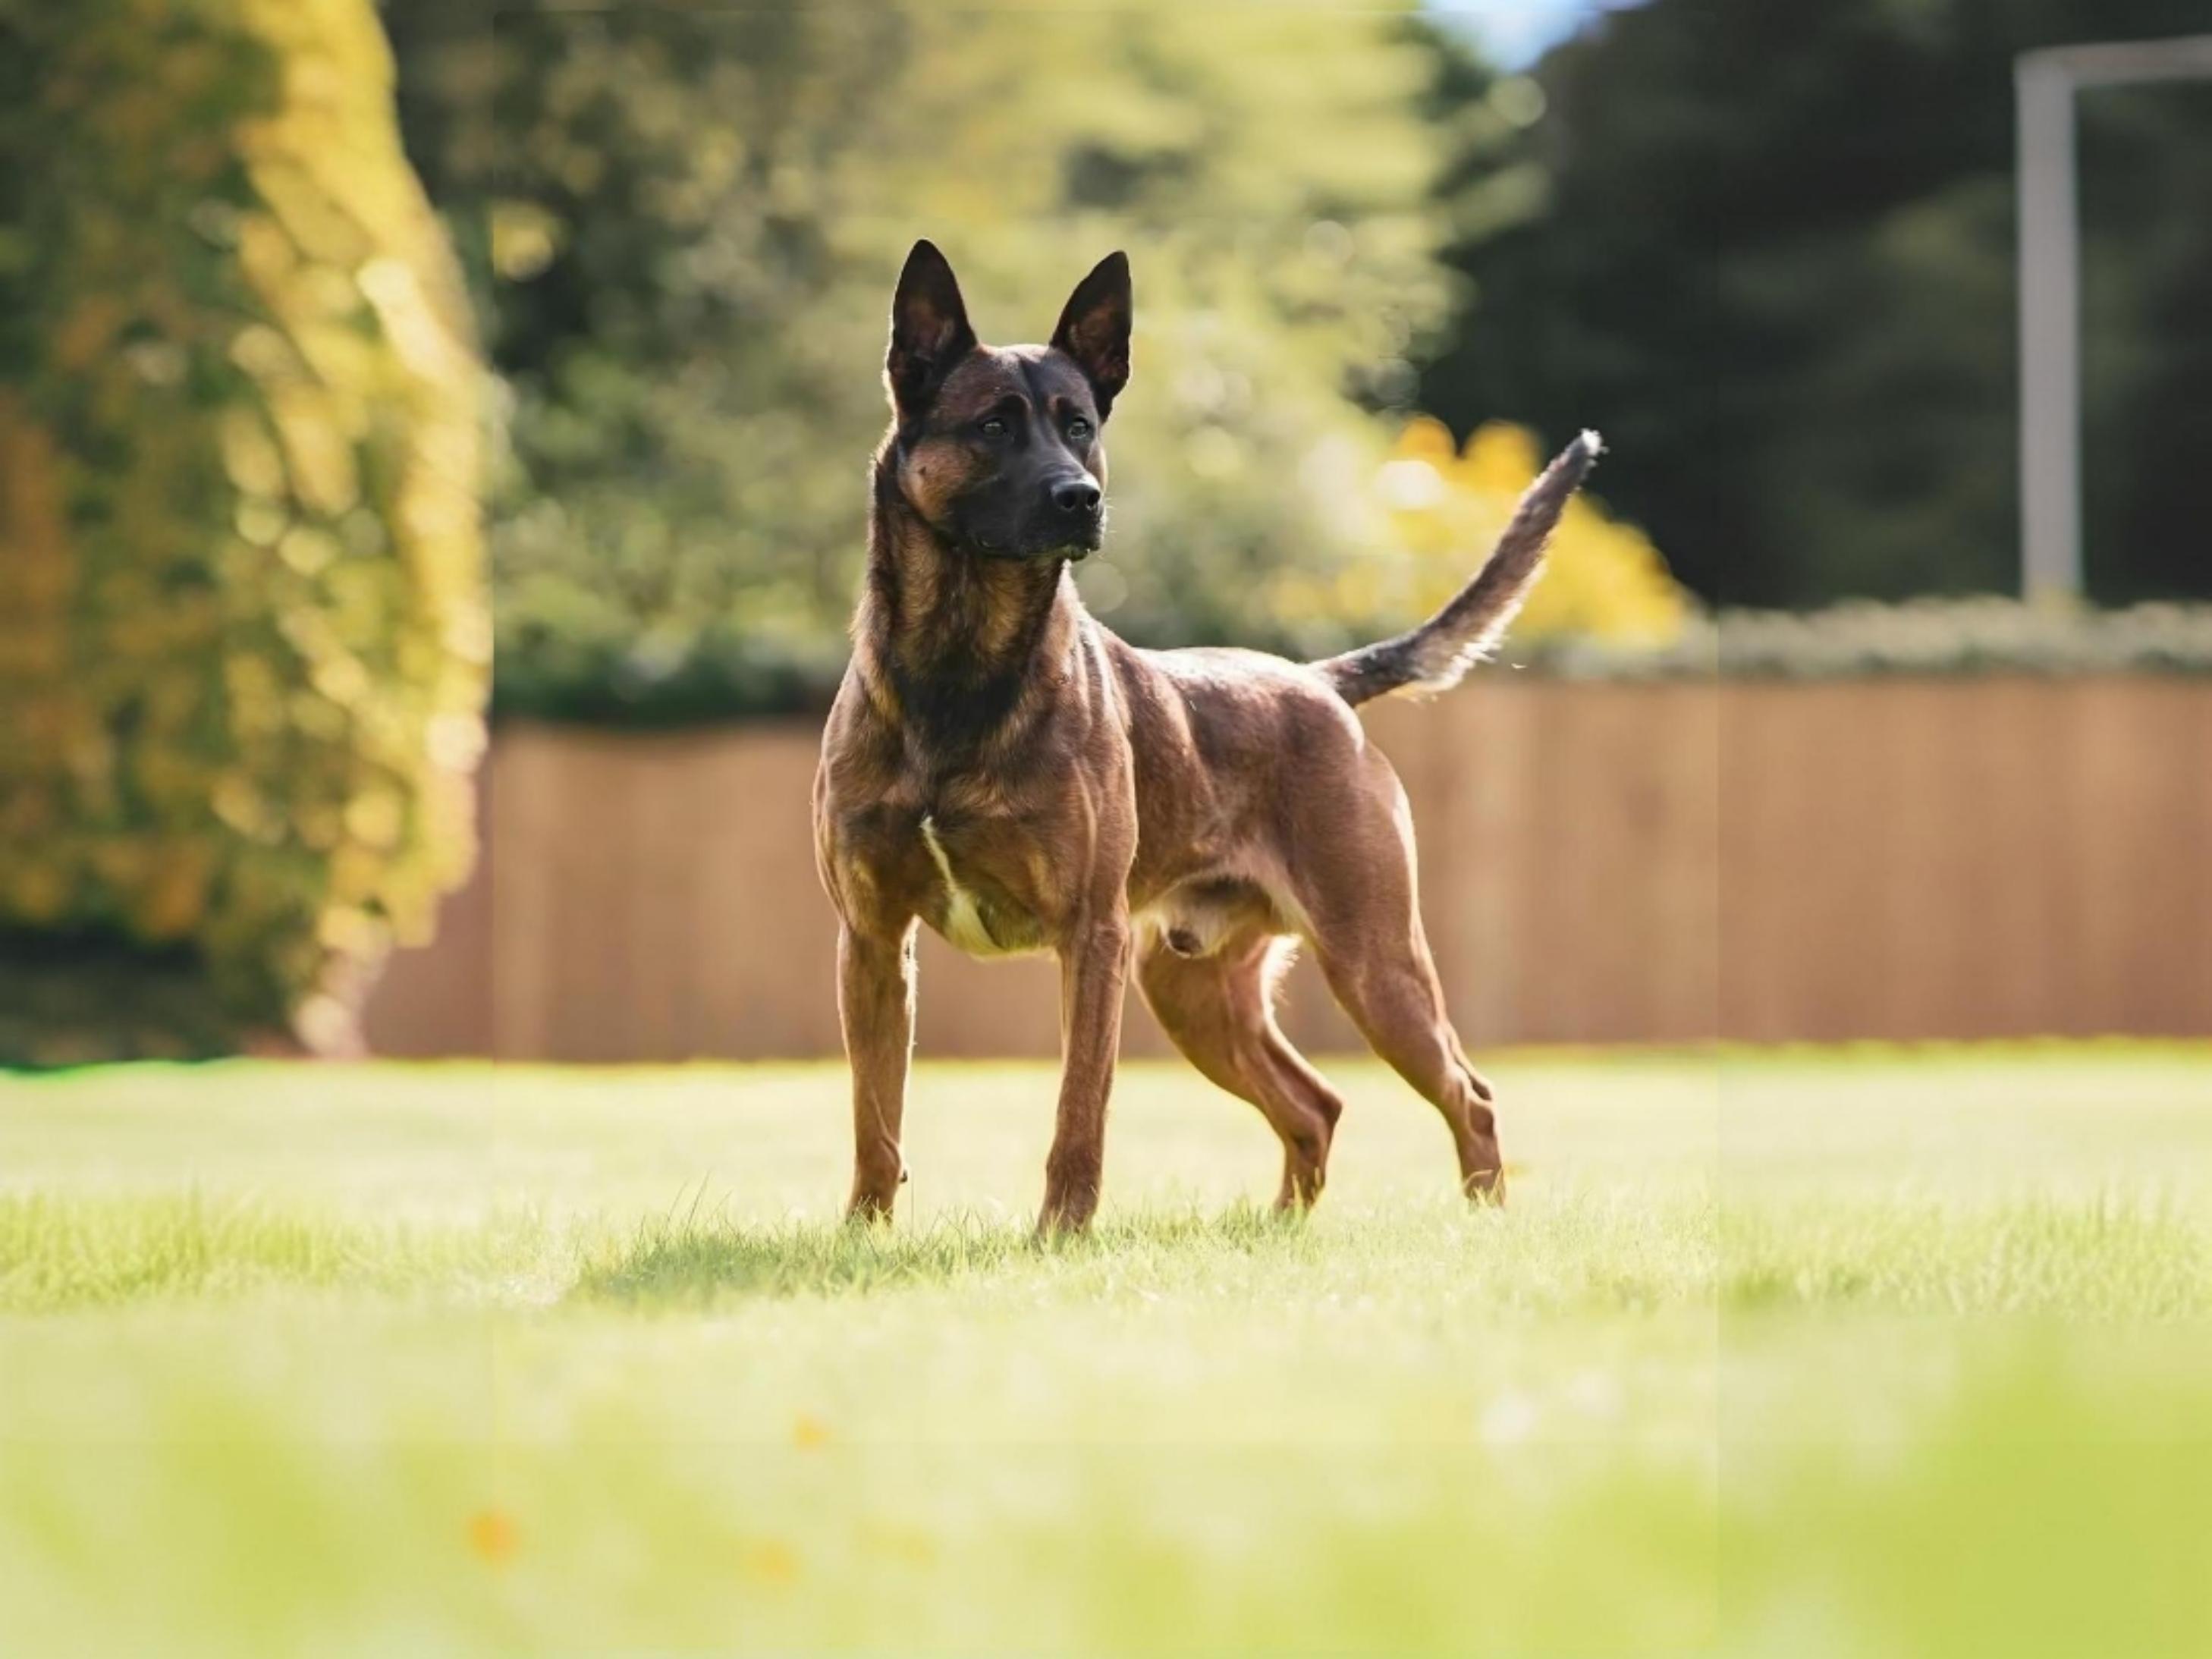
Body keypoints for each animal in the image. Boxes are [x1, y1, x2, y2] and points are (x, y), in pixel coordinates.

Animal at [822, 243, 1601, 1238]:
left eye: (1079, 426)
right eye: (994, 424)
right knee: (1316, 1103)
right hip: (1198, 993)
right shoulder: (873, 943)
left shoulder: (1093, 941)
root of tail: (1319, 681)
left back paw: (1480, 1219)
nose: (1081, 499)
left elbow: (1079, 1109)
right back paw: (1284, 1228)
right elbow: (874, 1114)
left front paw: (1060, 1236)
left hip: (1373, 963)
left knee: (1470, 1095)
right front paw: (863, 1235)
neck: (959, 675)